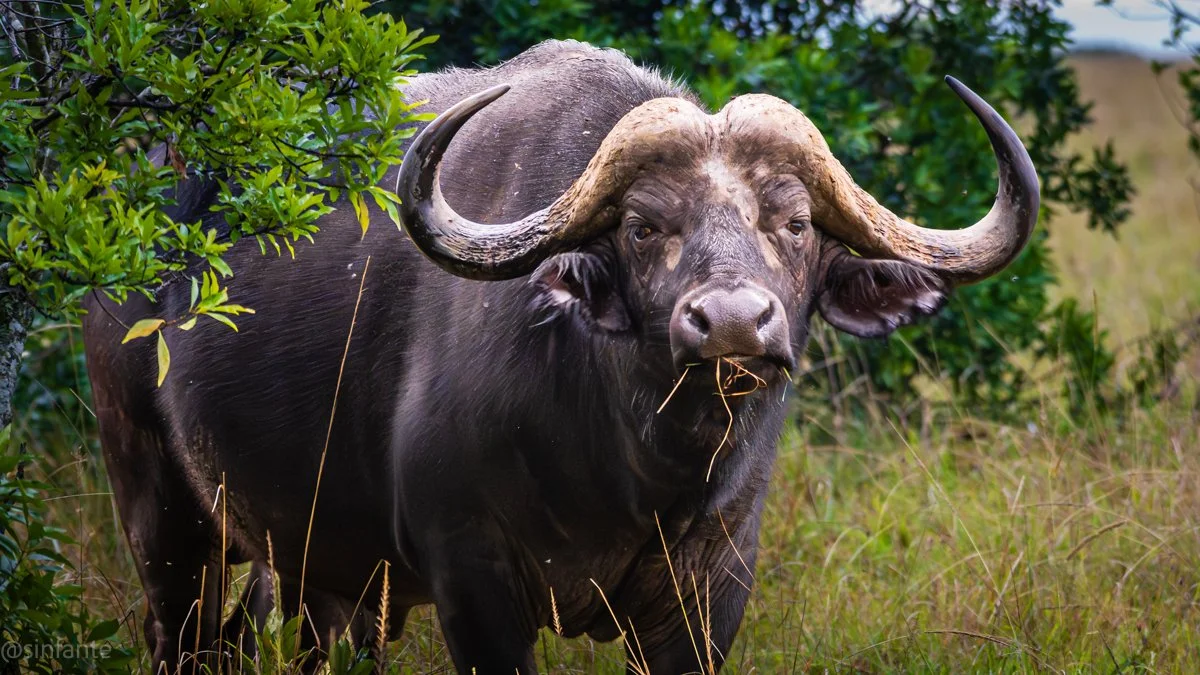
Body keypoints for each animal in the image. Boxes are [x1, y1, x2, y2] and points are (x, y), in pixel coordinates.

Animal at [82, 40, 1038, 674]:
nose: (732, 323)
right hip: (159, 509)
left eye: (796, 222)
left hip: (311, 562)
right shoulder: (474, 581)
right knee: (180, 634)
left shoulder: (710, 595)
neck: (628, 467)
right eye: (643, 225)